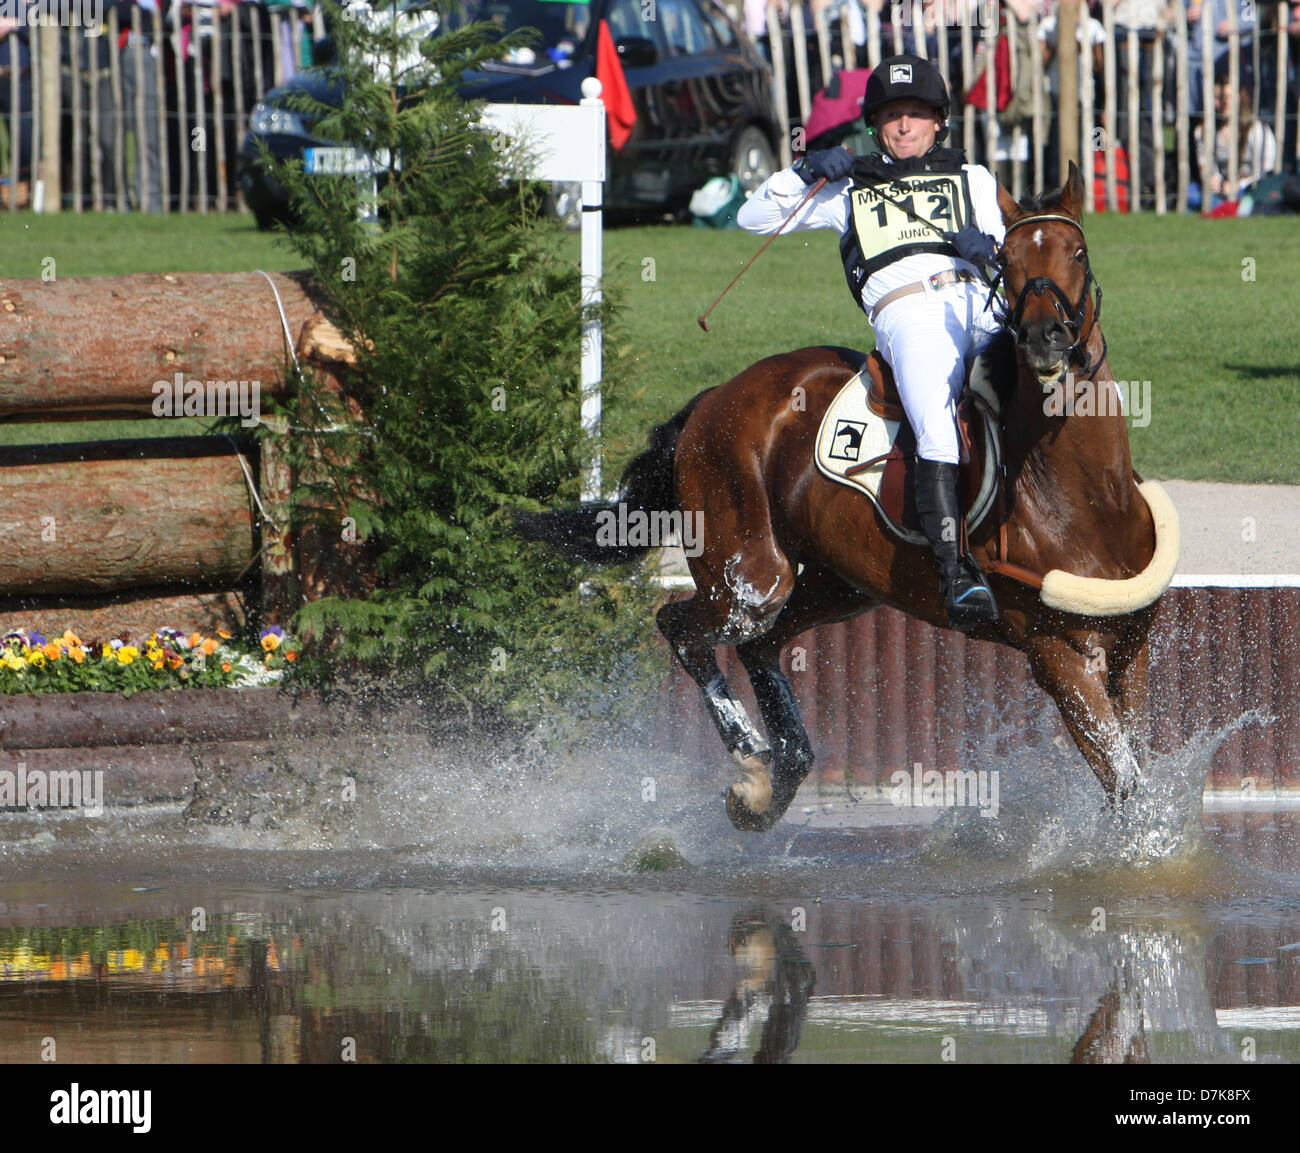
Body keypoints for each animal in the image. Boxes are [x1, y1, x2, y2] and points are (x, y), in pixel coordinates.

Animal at [517, 159, 1180, 831]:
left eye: (1079, 251)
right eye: (1009, 261)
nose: (1044, 338)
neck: (1082, 496)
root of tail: (715, 396)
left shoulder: (1131, 651)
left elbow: (1138, 773)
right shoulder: (1057, 658)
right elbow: (1130, 791)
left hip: (840, 585)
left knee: (763, 645)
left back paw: (778, 774)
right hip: (752, 578)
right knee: (682, 625)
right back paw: (752, 760)